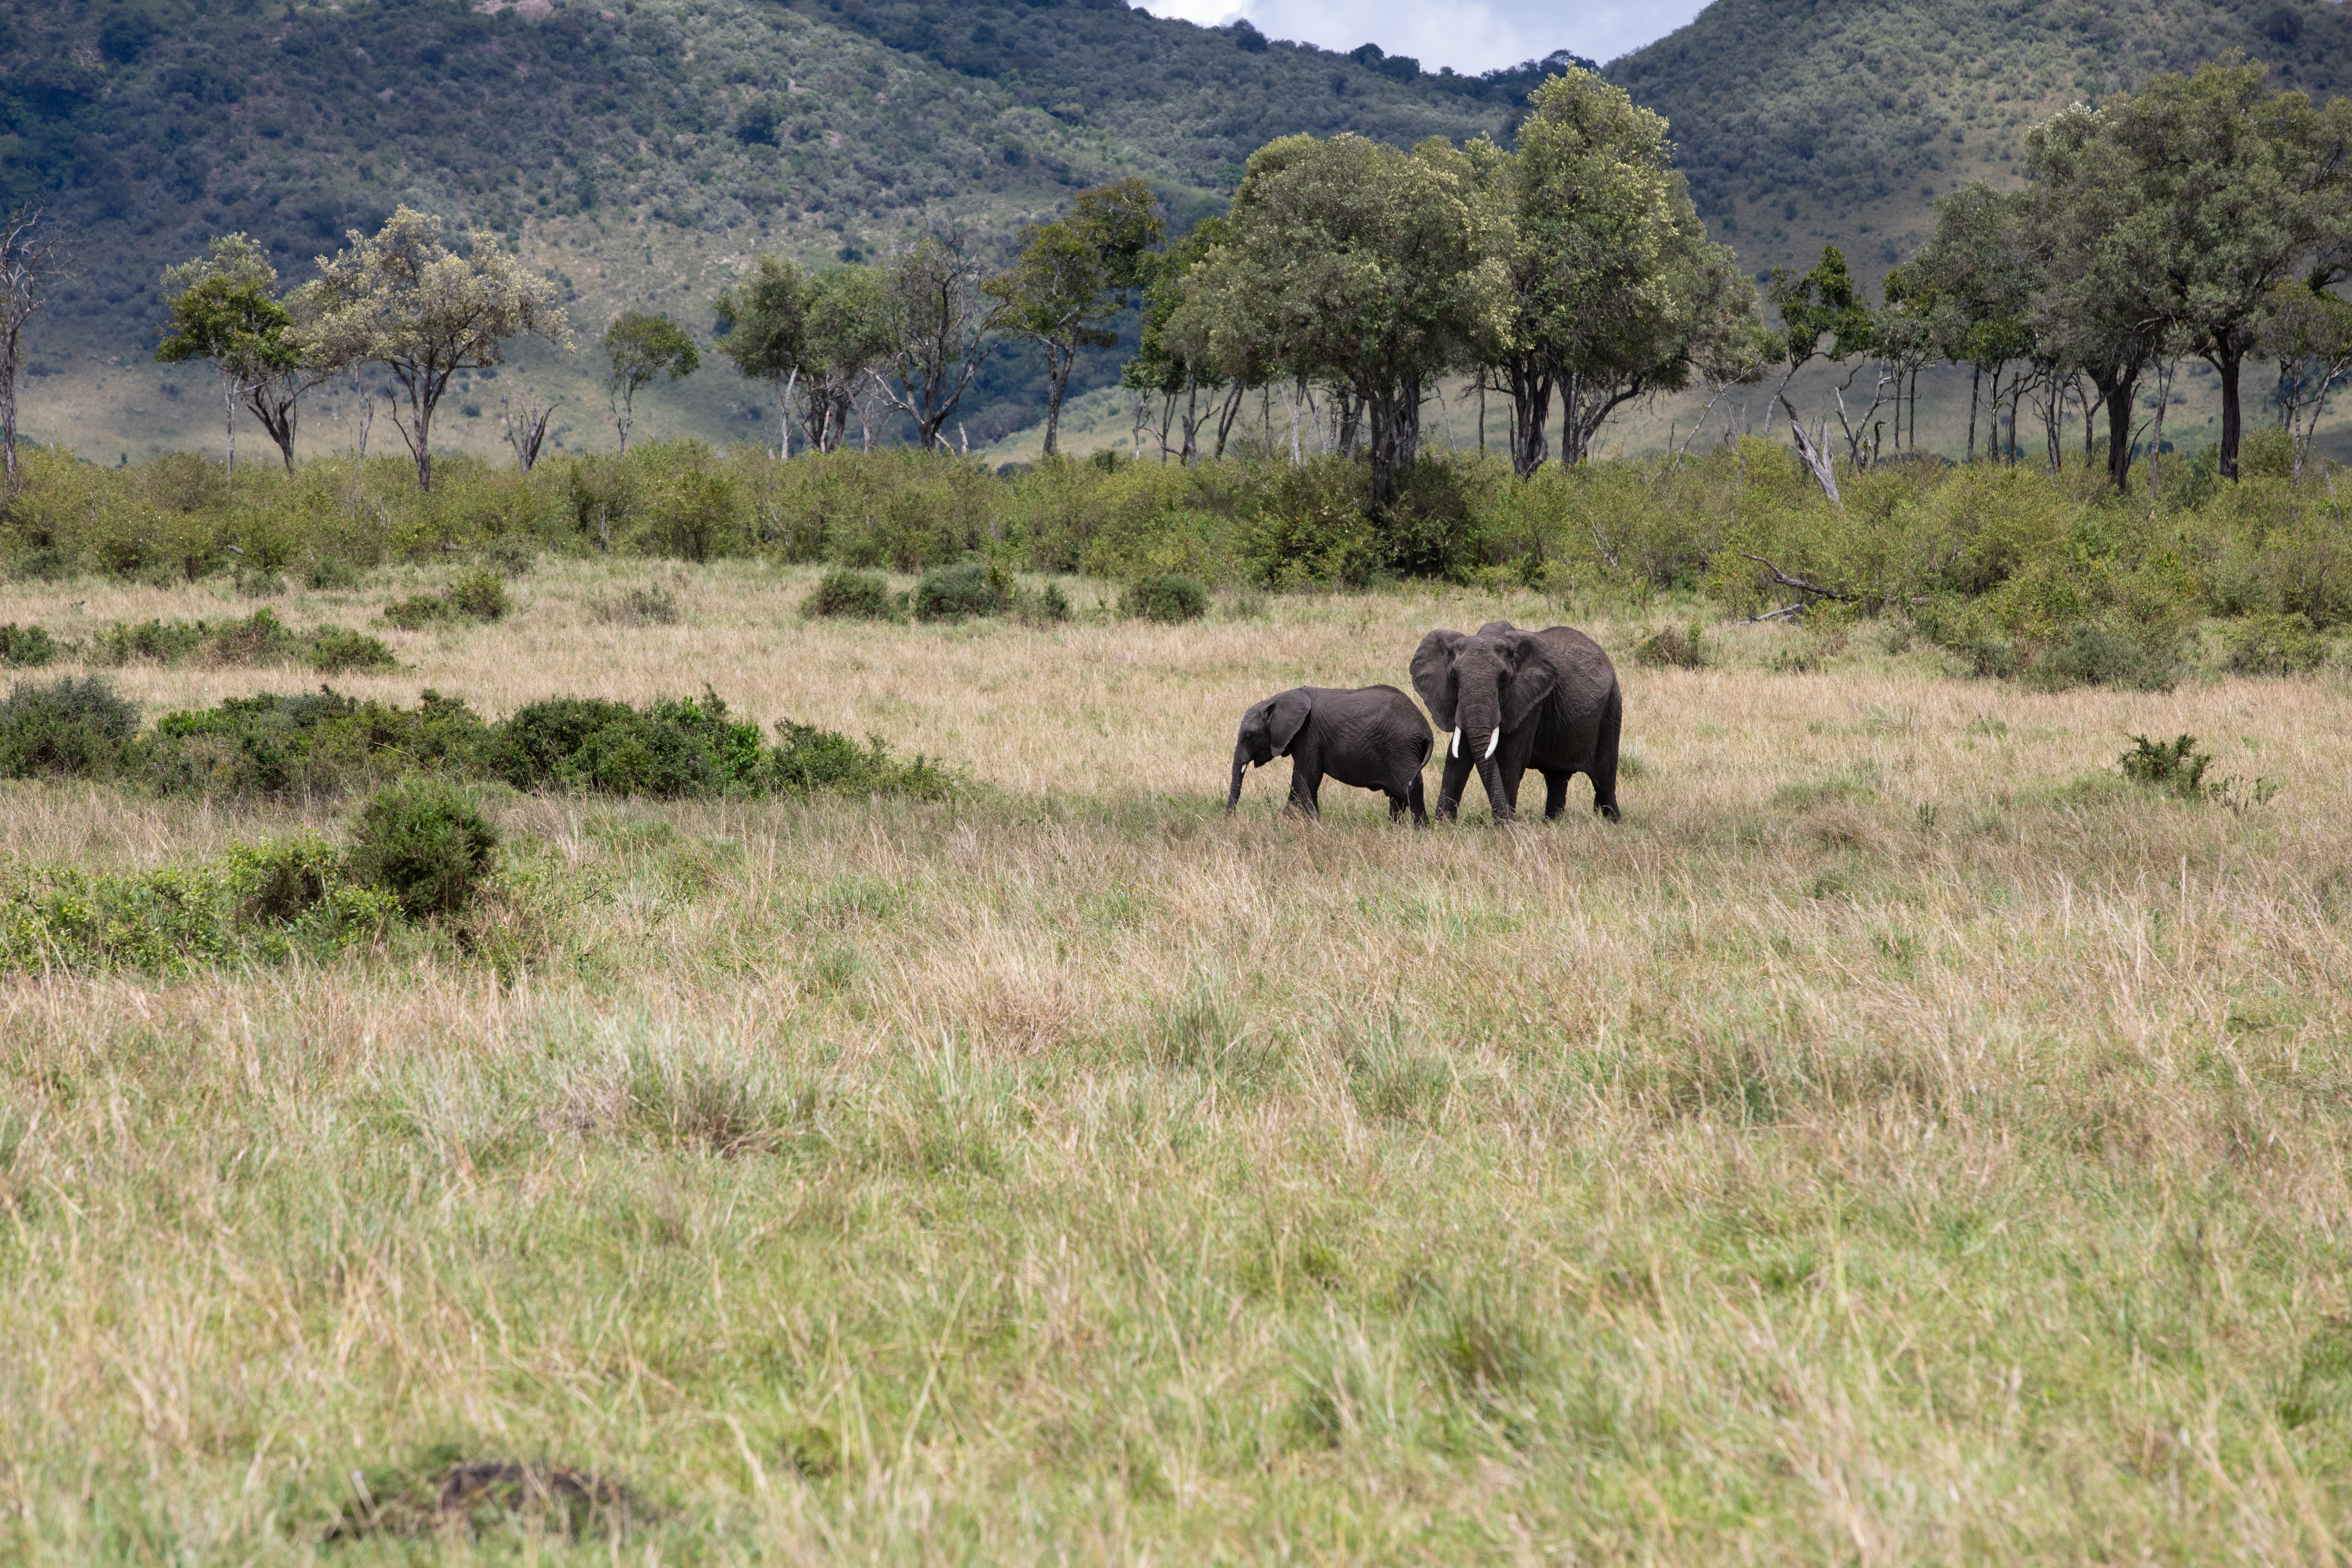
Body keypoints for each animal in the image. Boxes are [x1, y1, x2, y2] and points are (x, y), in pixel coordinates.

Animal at [1226, 685, 1433, 825]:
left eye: (1249, 736)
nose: (1229, 821)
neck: (1276, 701)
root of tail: (1426, 730)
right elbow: (1306, 781)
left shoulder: (1308, 735)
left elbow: (1304, 778)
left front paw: (1310, 825)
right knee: (1398, 797)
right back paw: (1394, 830)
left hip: (1400, 749)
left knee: (1410, 788)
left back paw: (1421, 833)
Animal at [1410, 620, 1622, 823]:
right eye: (1454, 677)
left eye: (1503, 678)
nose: (1513, 819)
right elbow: (1458, 756)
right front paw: (1444, 825)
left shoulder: (1530, 701)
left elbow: (1509, 758)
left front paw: (1505, 828)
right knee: (1557, 778)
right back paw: (1552, 824)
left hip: (1611, 707)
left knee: (1604, 778)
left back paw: (1614, 823)